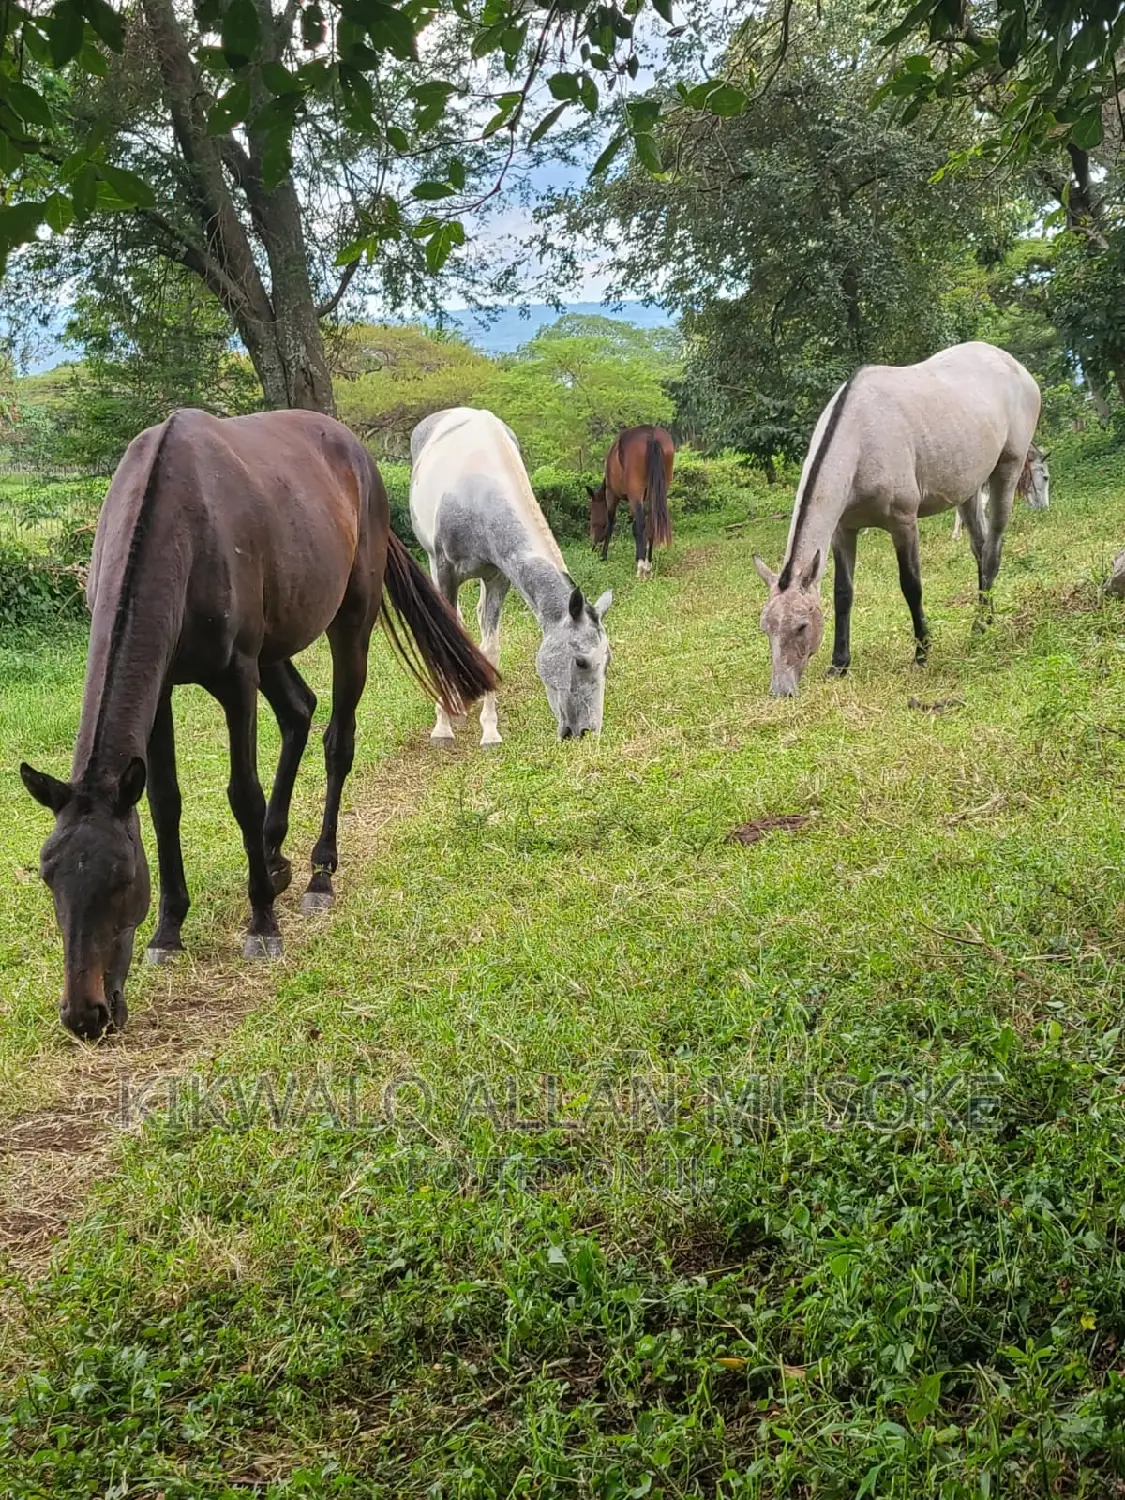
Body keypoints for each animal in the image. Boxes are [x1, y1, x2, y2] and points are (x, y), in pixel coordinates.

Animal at [20, 408, 497, 1042]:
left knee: (337, 741)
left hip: (349, 623)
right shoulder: (162, 686)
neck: (179, 520)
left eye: (121, 878)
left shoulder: (236, 678)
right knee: (299, 711)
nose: (86, 1015)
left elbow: (241, 794)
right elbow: (166, 799)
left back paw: (318, 874)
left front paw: (262, 925)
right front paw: (169, 929)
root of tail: (355, 451)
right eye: (49, 877)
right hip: (278, 648)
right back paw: (274, 857)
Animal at [410, 407, 612, 746]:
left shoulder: (499, 577)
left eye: (606, 660)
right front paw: (443, 727)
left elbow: (491, 649)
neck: (477, 494)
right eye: (580, 661)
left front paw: (490, 731)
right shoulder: (445, 570)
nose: (586, 731)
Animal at [588, 424, 674, 578]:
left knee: (641, 524)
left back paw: (641, 567)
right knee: (650, 525)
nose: (593, 545)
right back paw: (648, 565)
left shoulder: (612, 494)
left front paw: (604, 555)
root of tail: (651, 435)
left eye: (592, 517)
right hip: (660, 490)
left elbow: (611, 523)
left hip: (635, 493)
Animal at [752, 341, 1041, 697]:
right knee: (980, 547)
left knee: (993, 550)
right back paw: (986, 618)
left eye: (802, 625)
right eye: (766, 627)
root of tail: (1014, 365)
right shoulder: (843, 530)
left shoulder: (904, 522)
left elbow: (911, 585)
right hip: (969, 488)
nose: (782, 690)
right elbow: (843, 593)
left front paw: (922, 653)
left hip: (1007, 470)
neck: (860, 437)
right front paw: (839, 664)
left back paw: (979, 626)